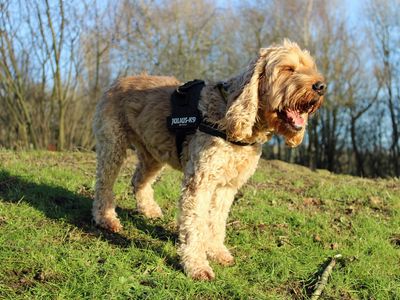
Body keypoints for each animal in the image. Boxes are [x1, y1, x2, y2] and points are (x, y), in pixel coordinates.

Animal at [93, 40, 324, 282]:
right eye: (288, 69)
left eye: (310, 67)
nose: (321, 86)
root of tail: (116, 82)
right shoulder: (200, 182)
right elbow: (194, 224)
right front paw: (196, 265)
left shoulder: (226, 187)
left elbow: (216, 222)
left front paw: (216, 251)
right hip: (113, 146)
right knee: (103, 185)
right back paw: (106, 219)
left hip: (153, 154)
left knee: (139, 180)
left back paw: (149, 210)